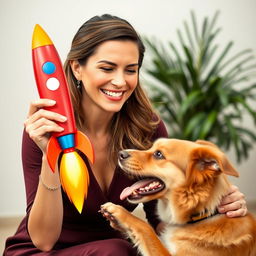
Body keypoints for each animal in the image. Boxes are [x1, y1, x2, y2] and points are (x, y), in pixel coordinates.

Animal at [100, 139, 256, 255]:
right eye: (151, 147)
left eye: (158, 154)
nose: (120, 153)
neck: (202, 214)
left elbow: (145, 228)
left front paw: (119, 212)